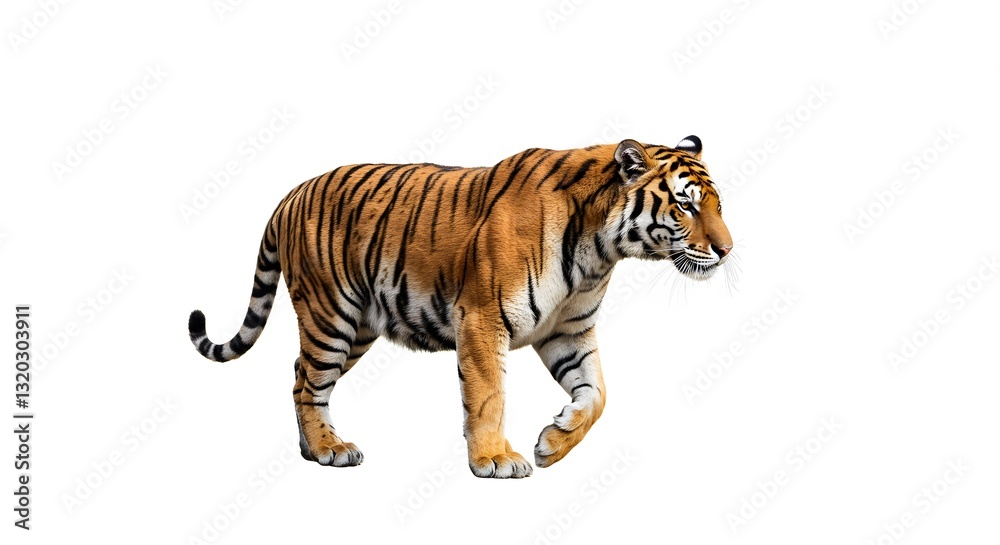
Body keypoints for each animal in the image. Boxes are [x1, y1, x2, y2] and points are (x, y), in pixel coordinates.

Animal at [188, 135, 733, 479]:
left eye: (718, 205)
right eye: (686, 205)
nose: (728, 250)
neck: (600, 250)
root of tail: (291, 193)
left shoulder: (569, 332)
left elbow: (597, 396)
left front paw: (553, 444)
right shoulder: (483, 318)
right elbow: (489, 395)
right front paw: (495, 459)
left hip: (357, 327)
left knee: (299, 373)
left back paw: (310, 447)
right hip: (330, 315)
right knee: (308, 382)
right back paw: (329, 448)